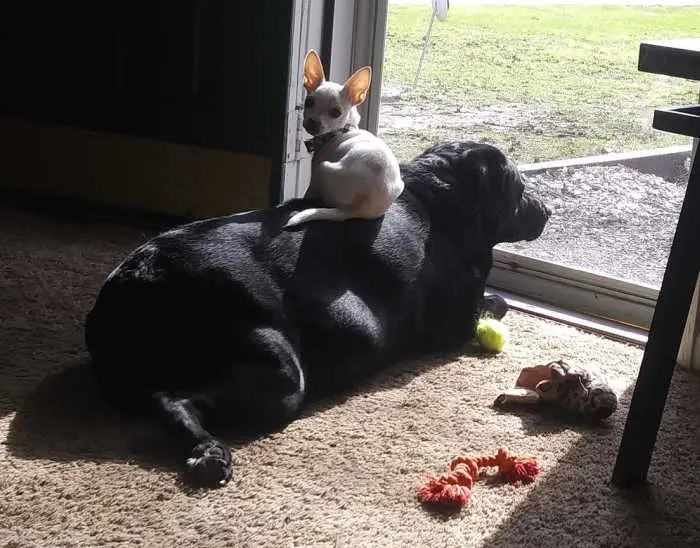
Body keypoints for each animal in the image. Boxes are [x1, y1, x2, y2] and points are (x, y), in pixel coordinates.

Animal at [85, 141, 548, 488]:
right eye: (519, 186)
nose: (545, 211)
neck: (442, 193)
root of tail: (143, 275)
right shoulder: (455, 321)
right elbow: (498, 302)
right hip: (281, 377)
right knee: (170, 399)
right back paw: (209, 454)